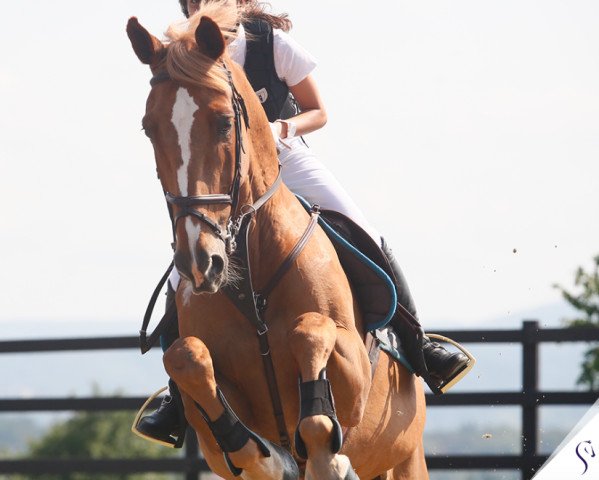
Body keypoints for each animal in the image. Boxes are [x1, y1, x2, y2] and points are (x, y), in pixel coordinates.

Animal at [126, 1, 428, 478]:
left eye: (224, 123)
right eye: (148, 128)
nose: (200, 262)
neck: (251, 268)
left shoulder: (355, 376)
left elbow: (311, 332)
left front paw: (329, 460)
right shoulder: (205, 401)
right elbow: (186, 358)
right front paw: (266, 456)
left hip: (407, 454)